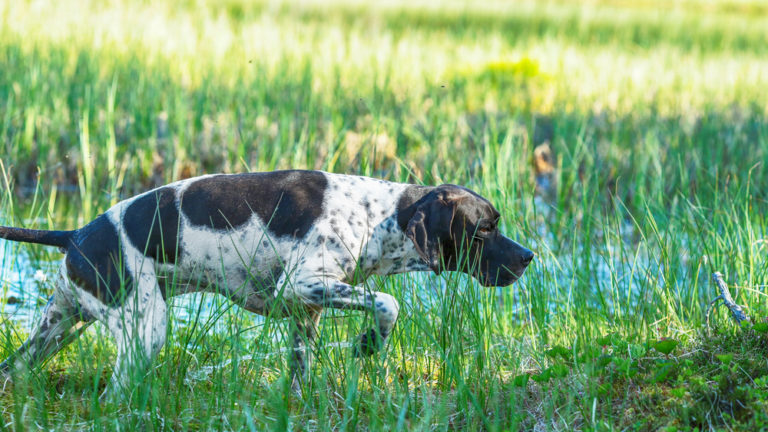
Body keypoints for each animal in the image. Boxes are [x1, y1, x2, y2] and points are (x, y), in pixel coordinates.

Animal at [0, 170, 532, 398]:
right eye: (485, 229)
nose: (529, 258)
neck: (377, 215)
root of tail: (74, 234)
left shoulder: (306, 312)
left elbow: (299, 370)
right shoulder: (298, 288)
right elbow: (387, 302)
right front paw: (368, 343)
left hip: (58, 327)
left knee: (13, 369)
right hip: (144, 330)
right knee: (114, 393)